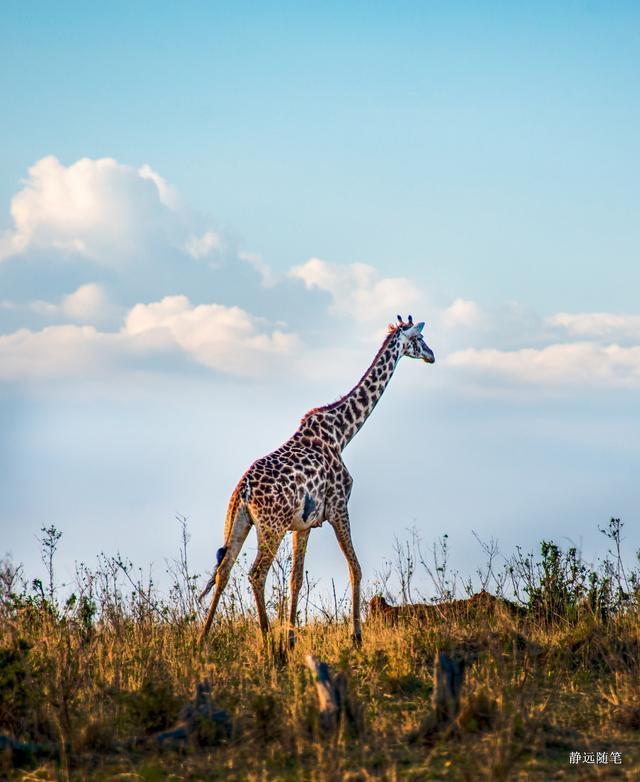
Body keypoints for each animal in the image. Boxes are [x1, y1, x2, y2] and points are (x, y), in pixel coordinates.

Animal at [200, 316, 436, 648]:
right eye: (420, 338)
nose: (432, 355)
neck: (342, 432)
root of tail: (243, 490)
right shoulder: (338, 507)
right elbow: (355, 568)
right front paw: (356, 637)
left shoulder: (303, 524)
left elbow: (296, 579)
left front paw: (291, 639)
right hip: (271, 526)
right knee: (256, 573)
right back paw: (266, 639)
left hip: (238, 522)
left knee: (224, 570)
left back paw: (202, 640)